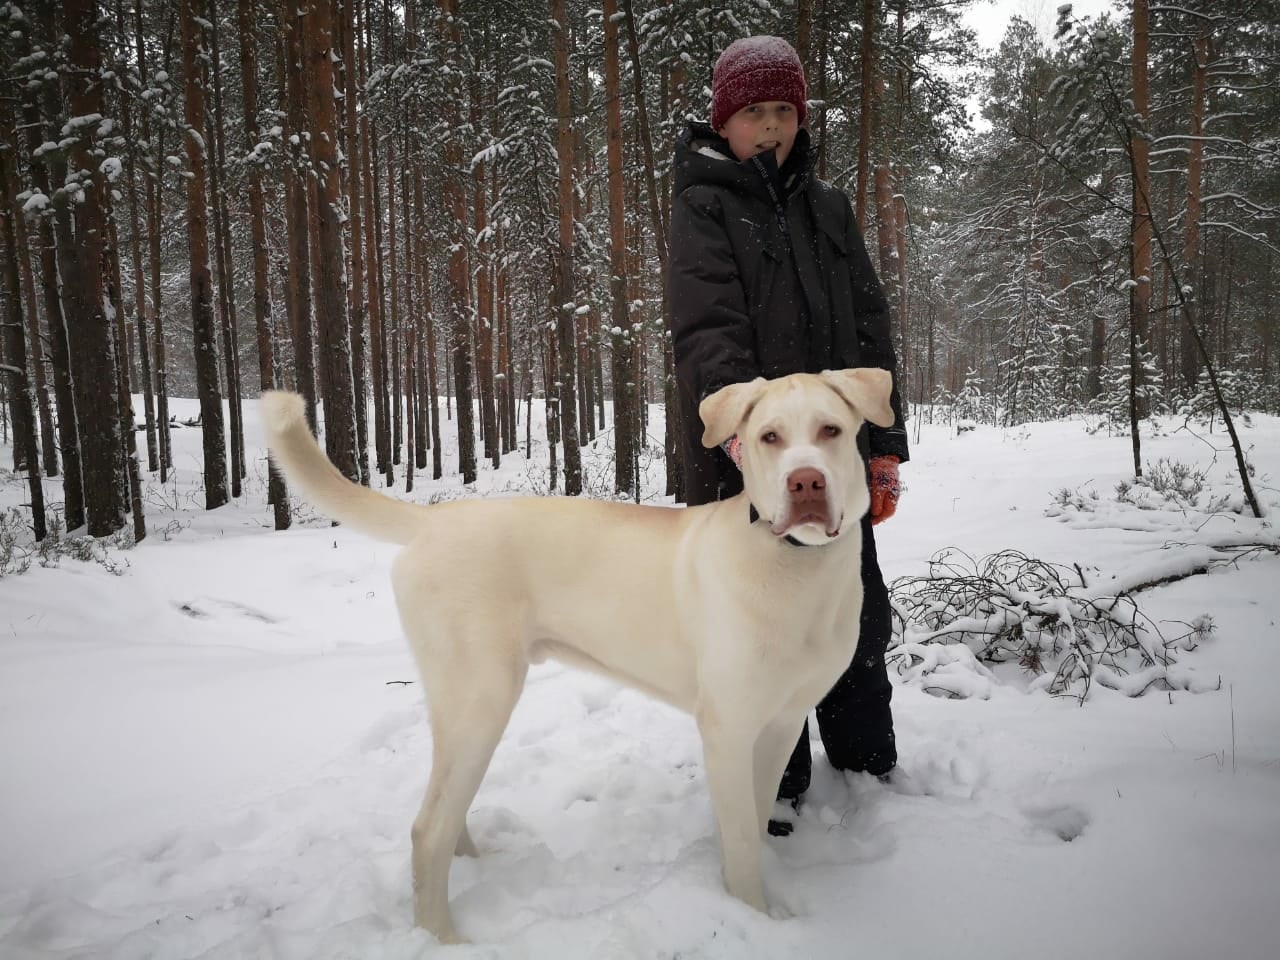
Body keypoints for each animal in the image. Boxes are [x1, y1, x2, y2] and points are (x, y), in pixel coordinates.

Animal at [262, 371, 890, 947]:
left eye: (830, 431)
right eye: (769, 437)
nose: (805, 481)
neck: (798, 570)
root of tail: (434, 519)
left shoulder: (781, 722)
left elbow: (757, 819)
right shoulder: (728, 729)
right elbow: (738, 841)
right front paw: (754, 917)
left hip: (457, 702)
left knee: (444, 801)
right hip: (483, 698)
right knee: (426, 829)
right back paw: (445, 939)